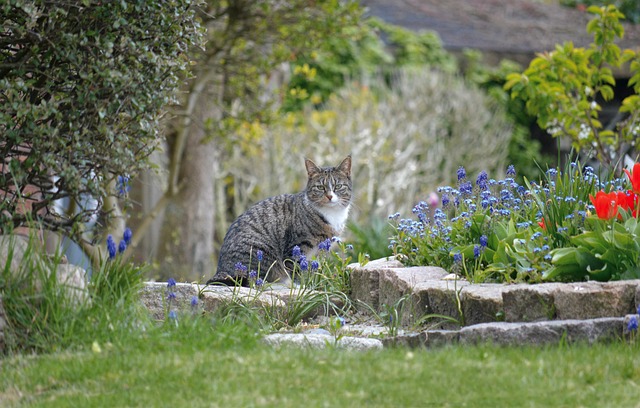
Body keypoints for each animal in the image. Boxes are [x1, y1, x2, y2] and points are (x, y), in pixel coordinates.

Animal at [208, 156, 352, 286]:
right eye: (320, 187)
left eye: (338, 186)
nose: (329, 196)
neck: (332, 214)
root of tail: (220, 271)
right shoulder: (297, 247)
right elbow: (296, 269)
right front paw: (299, 286)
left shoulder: (319, 249)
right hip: (260, 251)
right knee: (252, 280)